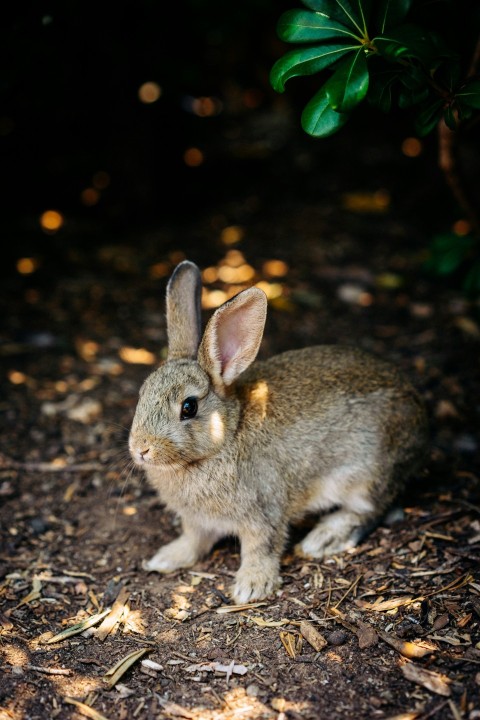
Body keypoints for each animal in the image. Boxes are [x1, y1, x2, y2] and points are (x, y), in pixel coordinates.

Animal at [129, 260, 428, 604]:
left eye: (188, 407)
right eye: (142, 393)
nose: (141, 449)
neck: (226, 436)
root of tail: (420, 416)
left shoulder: (263, 512)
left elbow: (261, 547)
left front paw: (251, 586)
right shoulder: (197, 522)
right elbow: (193, 541)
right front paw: (166, 558)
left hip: (366, 475)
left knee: (370, 510)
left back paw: (323, 538)